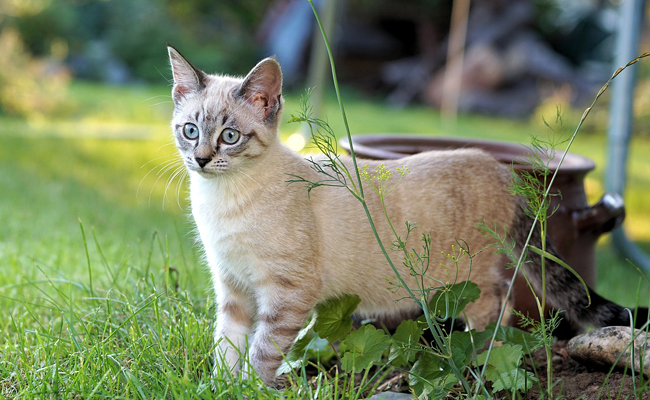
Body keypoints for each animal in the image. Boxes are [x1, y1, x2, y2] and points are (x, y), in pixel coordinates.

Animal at [166, 45, 644, 386]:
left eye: (230, 137)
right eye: (190, 130)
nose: (202, 159)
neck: (221, 200)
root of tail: (498, 167)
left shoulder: (286, 293)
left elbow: (263, 351)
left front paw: (249, 387)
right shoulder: (232, 287)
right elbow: (226, 347)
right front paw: (220, 387)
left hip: (467, 276)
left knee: (500, 305)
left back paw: (479, 360)